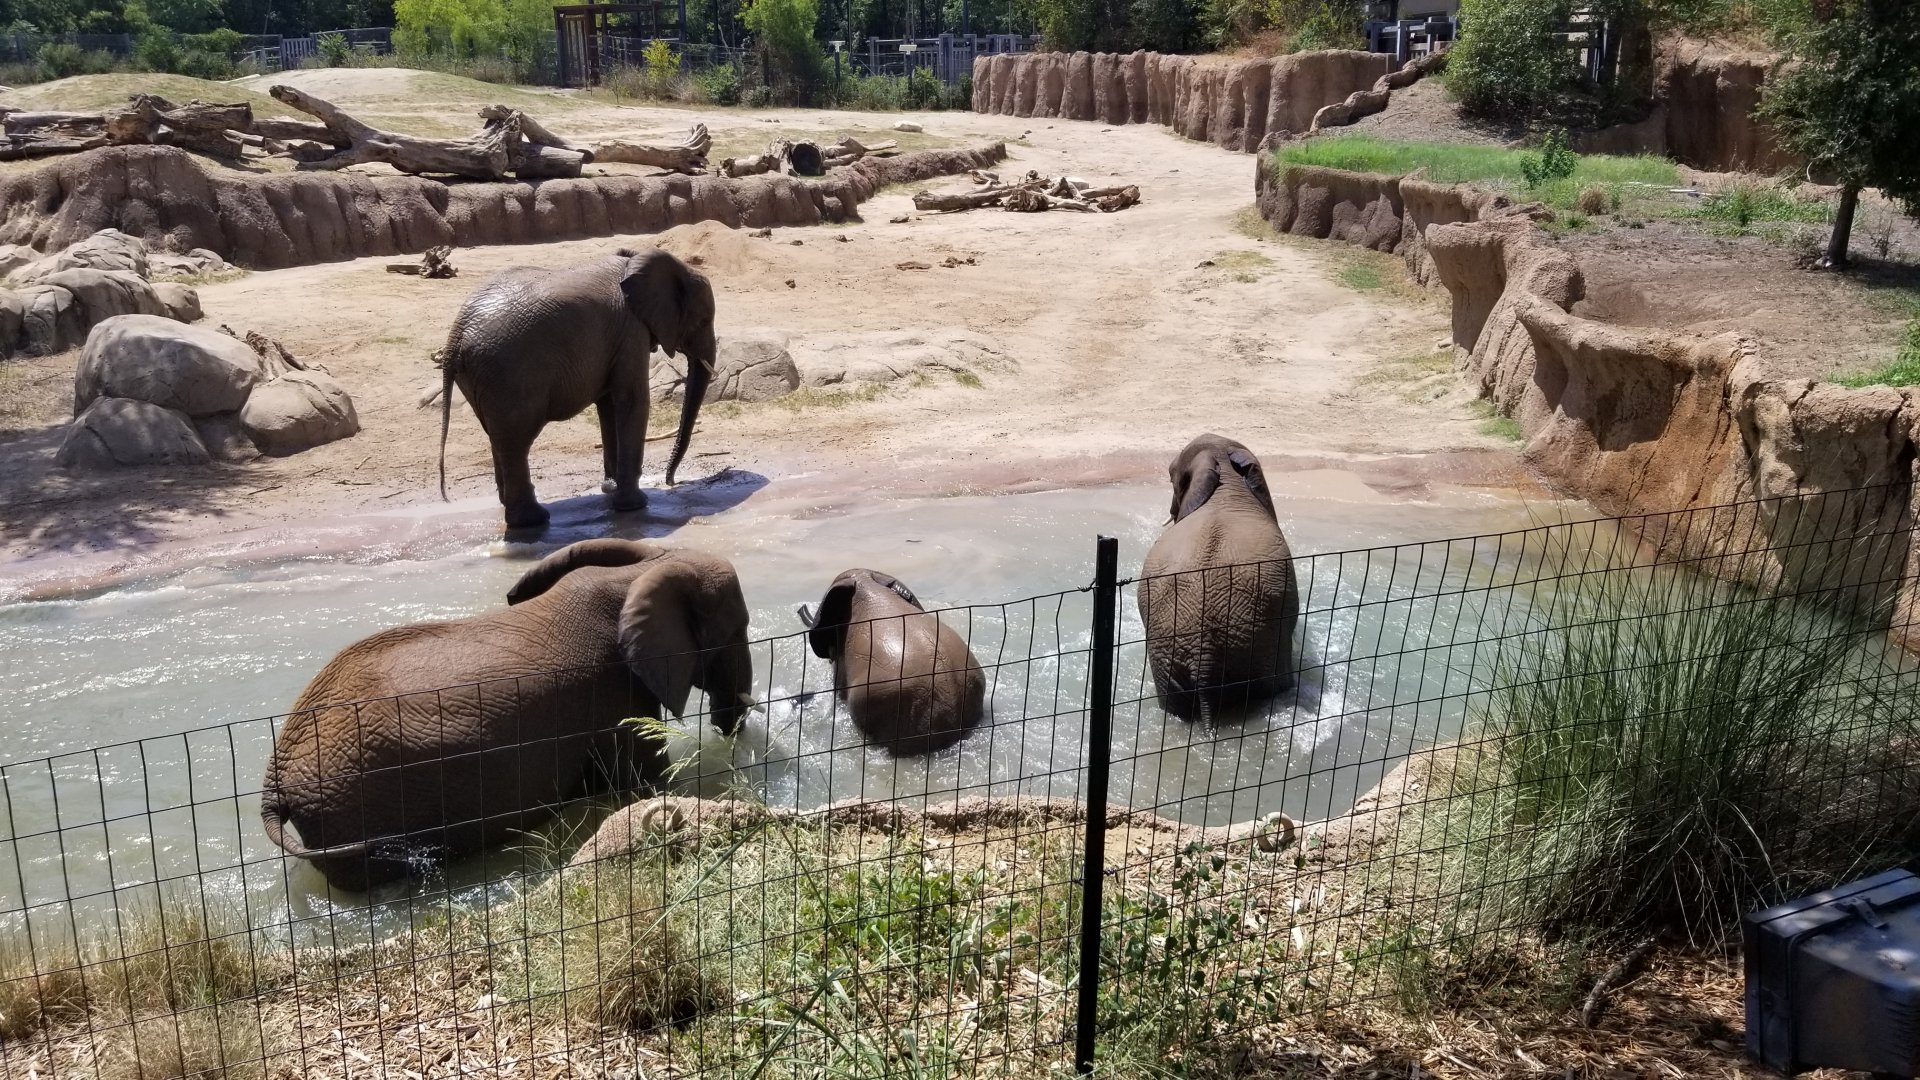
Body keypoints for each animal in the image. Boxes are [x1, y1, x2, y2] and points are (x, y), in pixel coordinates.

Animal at [260, 539, 754, 891]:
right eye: (739, 629)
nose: (731, 726)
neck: (641, 570)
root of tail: (274, 777)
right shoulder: (614, 693)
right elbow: (650, 780)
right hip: (353, 804)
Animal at [437, 248, 718, 530]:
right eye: (704, 321)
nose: (672, 482)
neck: (636, 261)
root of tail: (455, 339)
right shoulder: (631, 330)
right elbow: (632, 399)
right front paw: (635, 505)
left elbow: (608, 404)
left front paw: (611, 488)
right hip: (508, 374)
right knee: (516, 442)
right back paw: (533, 520)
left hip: (483, 379)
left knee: (497, 436)